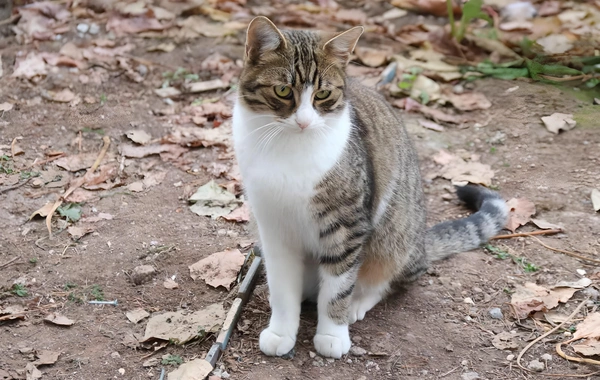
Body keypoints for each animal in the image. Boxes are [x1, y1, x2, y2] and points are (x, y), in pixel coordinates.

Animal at [232, 15, 508, 360]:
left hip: (394, 236)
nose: (304, 122)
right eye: (283, 90)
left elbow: (337, 288)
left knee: (388, 278)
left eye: (322, 95)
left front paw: (332, 334)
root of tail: (421, 243)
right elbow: (282, 288)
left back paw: (358, 302)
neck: (287, 148)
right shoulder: (274, 228)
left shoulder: (347, 225)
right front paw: (282, 331)